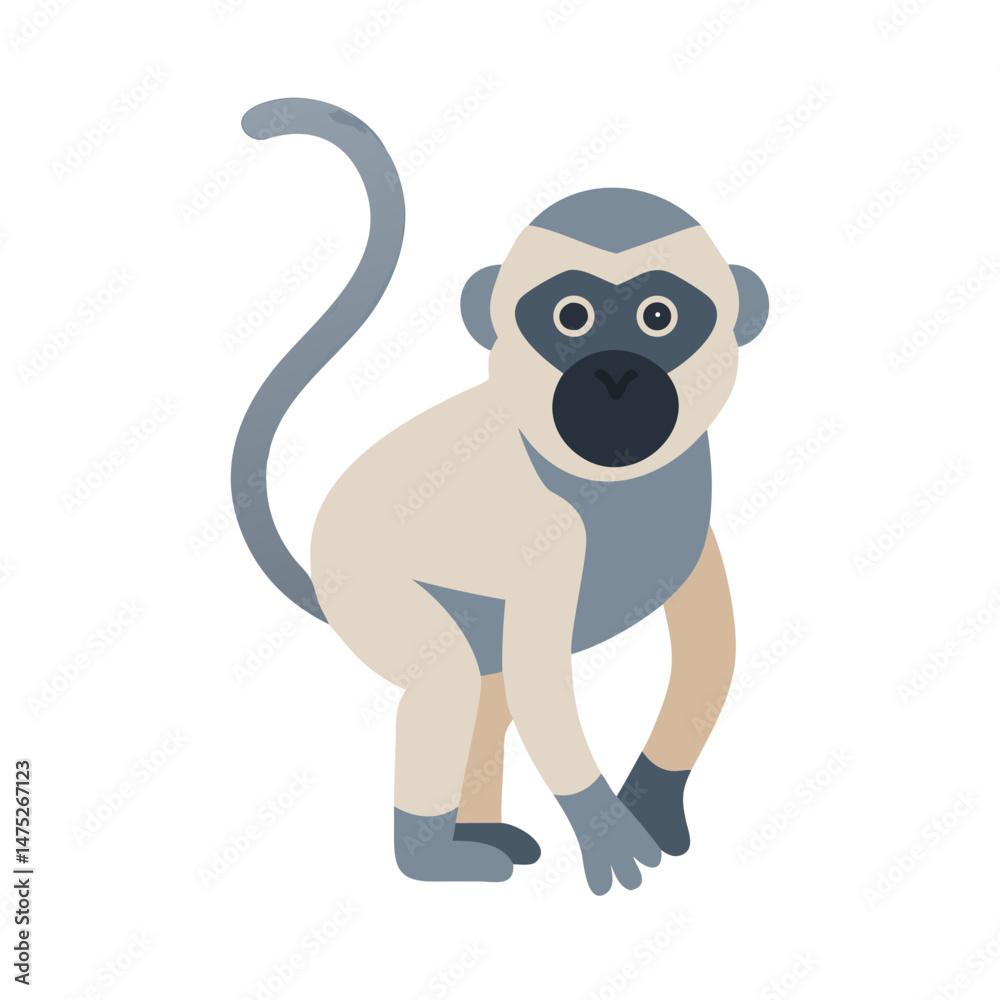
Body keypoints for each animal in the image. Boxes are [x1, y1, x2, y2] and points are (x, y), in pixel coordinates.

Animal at [232, 98, 769, 895]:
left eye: (660, 316)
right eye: (570, 316)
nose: (615, 375)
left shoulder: (691, 519)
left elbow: (710, 654)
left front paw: (651, 803)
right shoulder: (551, 539)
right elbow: (545, 687)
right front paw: (606, 827)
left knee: (489, 686)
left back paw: (481, 830)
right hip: (365, 585)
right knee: (452, 679)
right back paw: (432, 857)